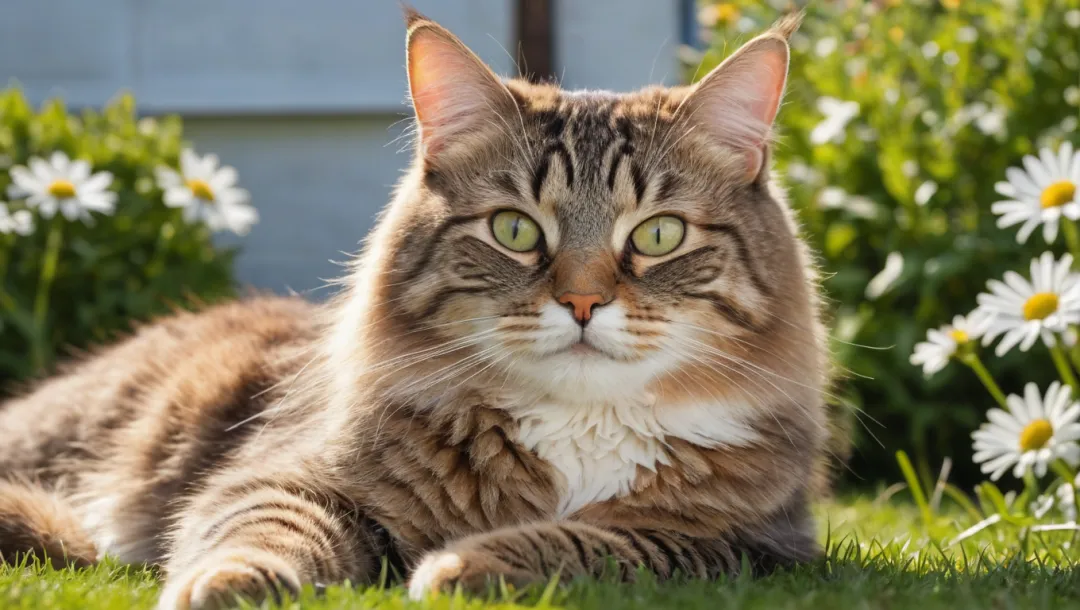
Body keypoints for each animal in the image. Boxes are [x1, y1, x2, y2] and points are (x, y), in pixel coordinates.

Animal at [0, 9, 825, 608]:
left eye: (658, 235)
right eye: (515, 230)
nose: (582, 301)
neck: (578, 426)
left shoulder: (753, 545)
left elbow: (602, 542)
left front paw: (464, 565)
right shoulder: (282, 473)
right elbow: (265, 530)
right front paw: (232, 584)